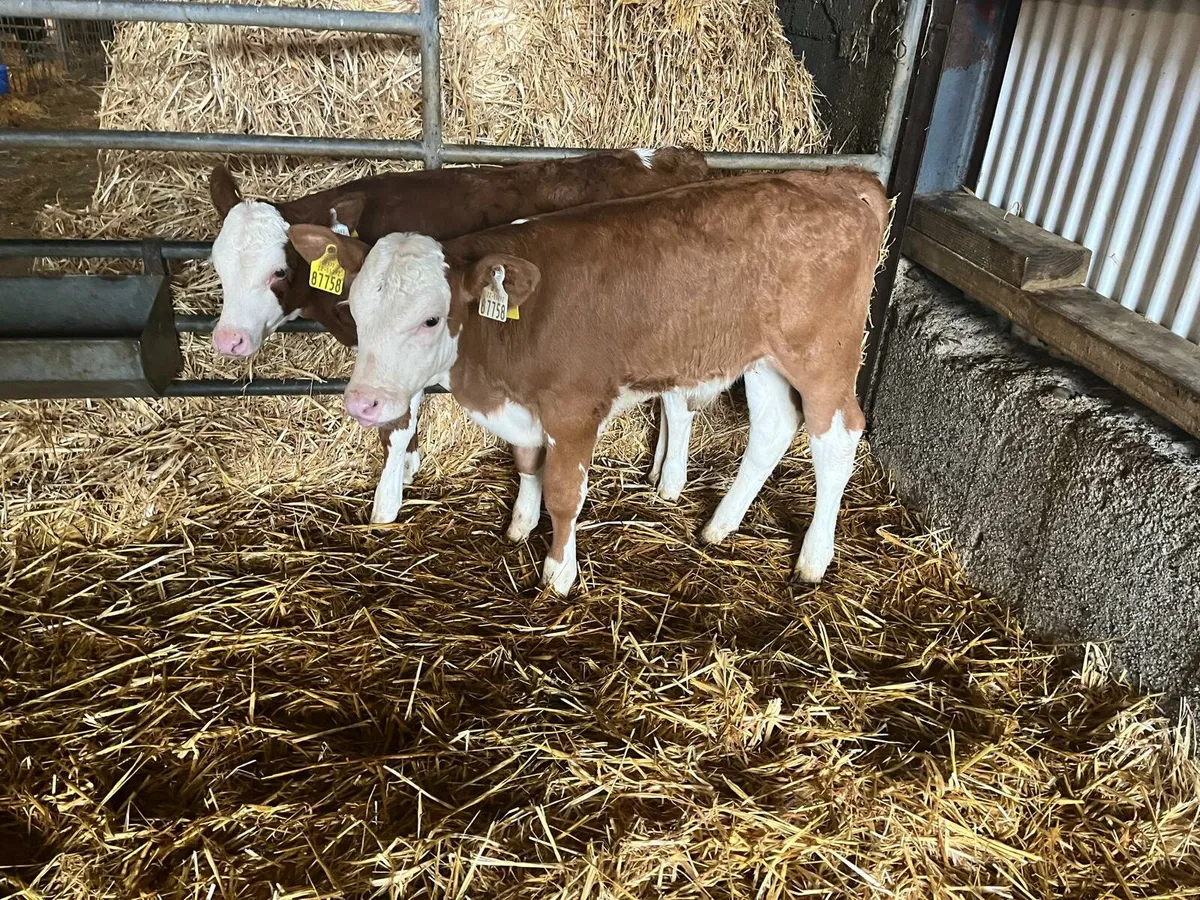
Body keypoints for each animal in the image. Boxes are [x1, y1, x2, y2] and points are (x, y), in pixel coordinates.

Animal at [206, 149, 712, 523]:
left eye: (279, 271)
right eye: (217, 264)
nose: (228, 340)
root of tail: (677, 156)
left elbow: (395, 426)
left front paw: (386, 504)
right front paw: (407, 469)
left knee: (679, 403)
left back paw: (670, 482)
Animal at [332, 167, 888, 595]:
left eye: (430, 319)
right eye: (354, 310)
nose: (362, 403)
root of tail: (838, 180)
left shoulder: (573, 409)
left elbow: (564, 494)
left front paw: (558, 573)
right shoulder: (526, 406)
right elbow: (527, 462)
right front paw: (519, 525)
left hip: (823, 356)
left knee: (838, 437)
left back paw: (813, 559)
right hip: (763, 358)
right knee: (773, 427)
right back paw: (718, 526)